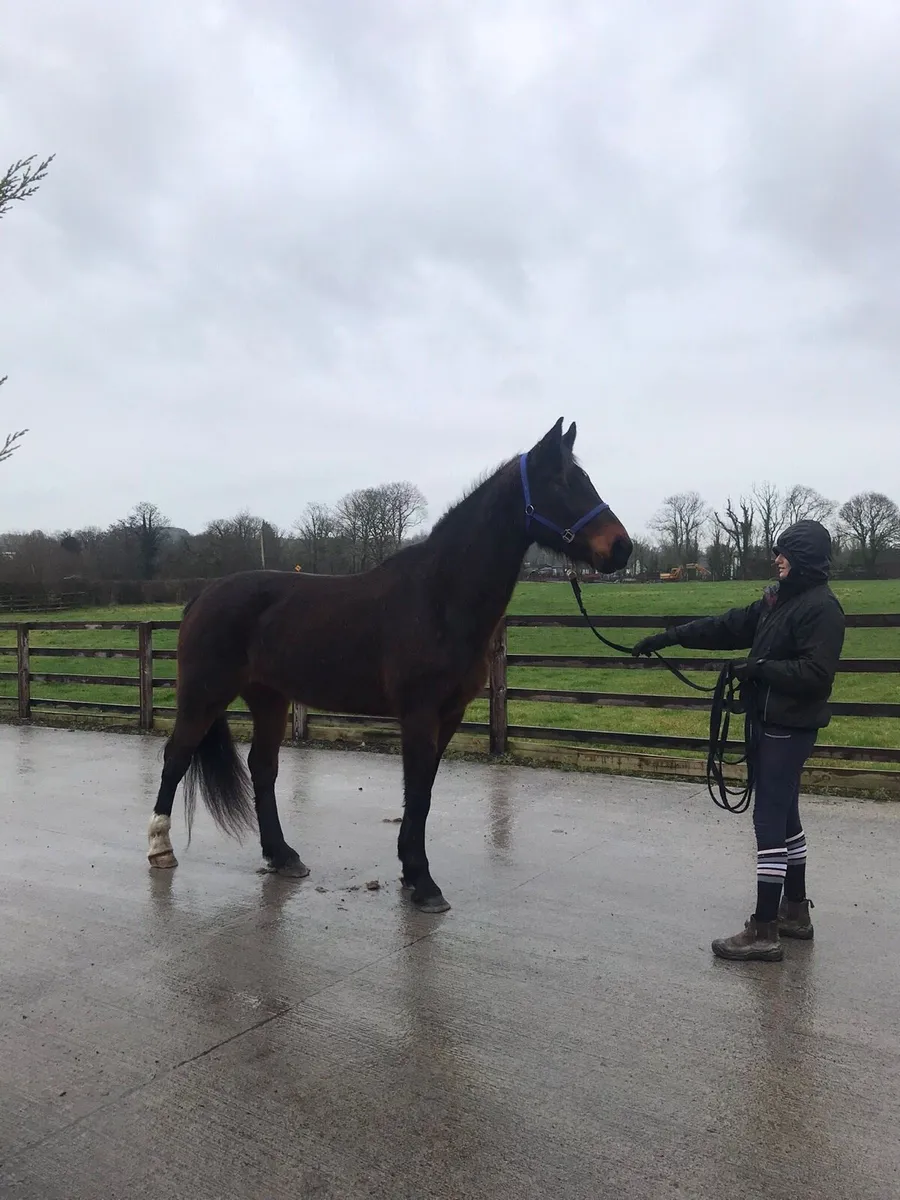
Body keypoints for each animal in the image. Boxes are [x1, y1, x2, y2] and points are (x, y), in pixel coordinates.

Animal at [147, 418, 632, 912]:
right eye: (562, 482)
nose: (621, 548)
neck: (438, 596)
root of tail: (203, 595)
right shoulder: (418, 713)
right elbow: (416, 790)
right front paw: (423, 881)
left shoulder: (449, 714)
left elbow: (425, 790)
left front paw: (410, 870)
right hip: (204, 694)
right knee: (176, 756)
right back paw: (160, 848)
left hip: (269, 699)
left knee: (261, 768)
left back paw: (282, 856)